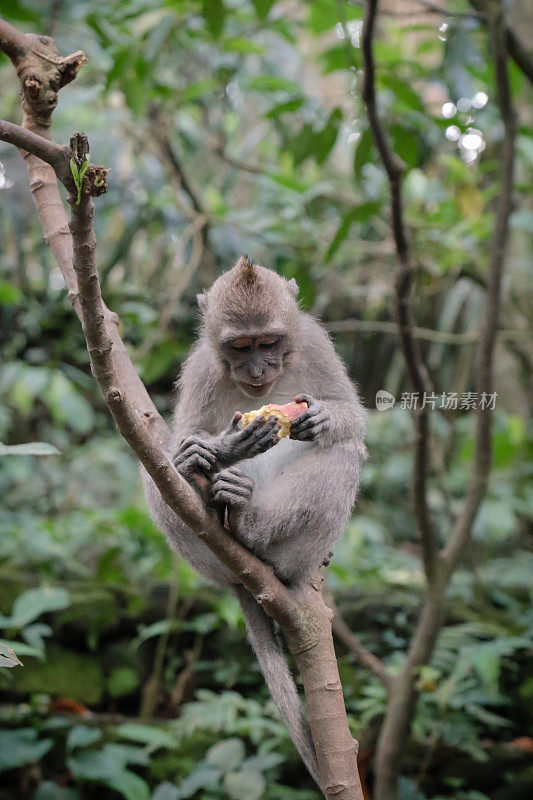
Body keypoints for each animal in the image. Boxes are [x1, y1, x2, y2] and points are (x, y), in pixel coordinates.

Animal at [141, 258, 366, 788]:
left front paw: (325, 417)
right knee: (156, 472)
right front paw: (214, 450)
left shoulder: (316, 343)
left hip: (296, 549)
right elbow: (183, 439)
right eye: (240, 347)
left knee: (345, 453)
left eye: (269, 342)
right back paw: (222, 505)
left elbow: (353, 417)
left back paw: (255, 530)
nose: (258, 370)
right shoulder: (202, 367)